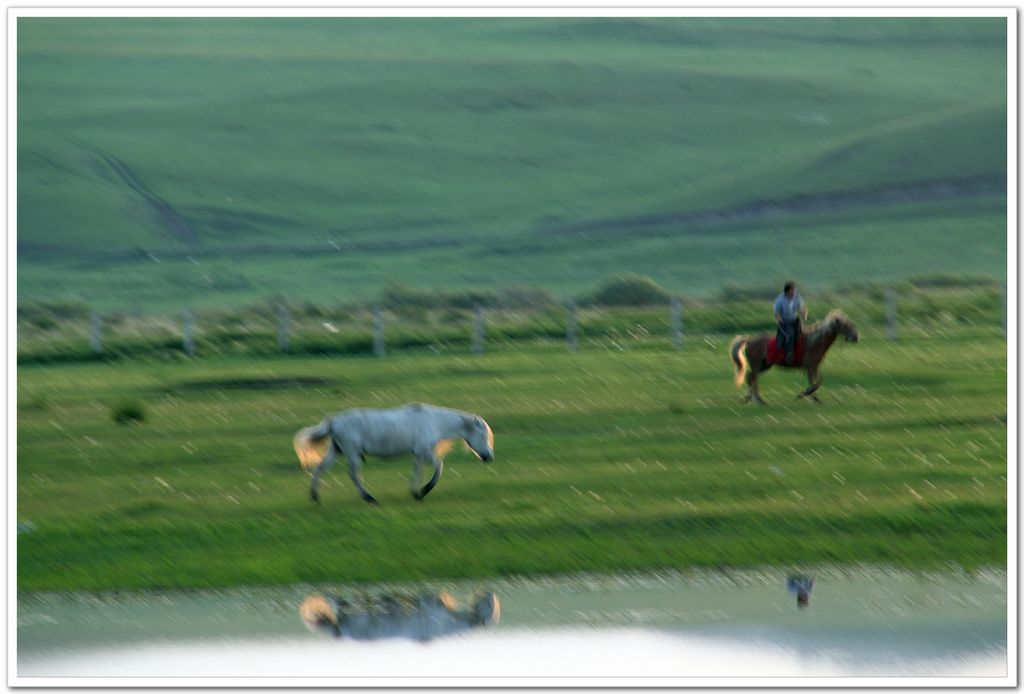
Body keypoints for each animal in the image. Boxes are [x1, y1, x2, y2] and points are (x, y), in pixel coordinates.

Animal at [292, 403, 495, 505]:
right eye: (483, 435)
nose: (488, 457)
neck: (433, 421)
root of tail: (334, 421)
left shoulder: (419, 454)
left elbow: (417, 472)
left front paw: (416, 493)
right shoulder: (425, 452)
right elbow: (439, 468)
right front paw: (424, 490)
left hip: (336, 451)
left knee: (320, 469)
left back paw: (315, 497)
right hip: (352, 453)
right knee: (354, 474)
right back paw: (370, 498)